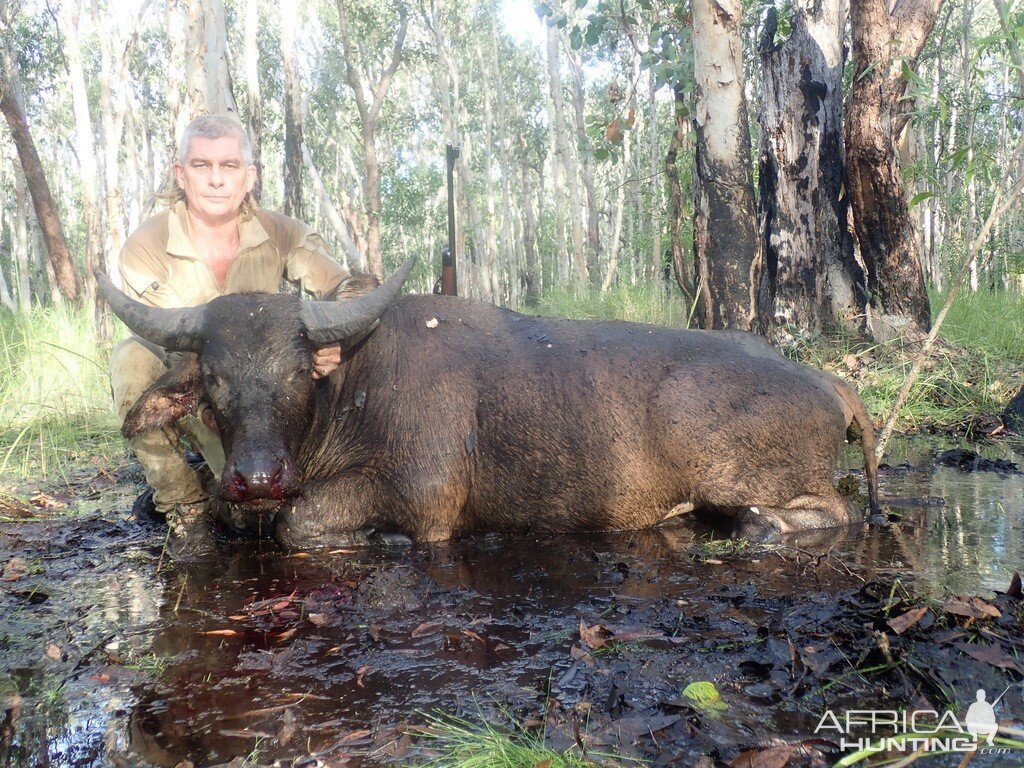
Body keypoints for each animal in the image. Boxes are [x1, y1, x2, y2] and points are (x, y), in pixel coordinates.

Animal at [97, 262, 880, 548]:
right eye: (215, 379)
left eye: (295, 371)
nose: (256, 478)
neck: (349, 388)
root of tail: (829, 385)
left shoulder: (423, 497)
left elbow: (301, 523)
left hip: (736, 471)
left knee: (835, 510)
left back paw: (761, 523)